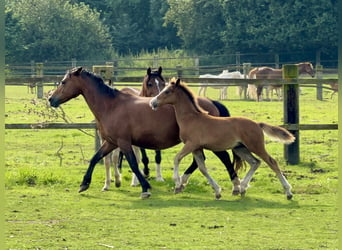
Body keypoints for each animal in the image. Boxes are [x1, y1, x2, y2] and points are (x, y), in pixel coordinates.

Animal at [151, 78, 296, 199]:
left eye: (167, 91)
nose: (153, 102)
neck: (191, 119)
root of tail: (257, 124)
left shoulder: (191, 144)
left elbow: (177, 158)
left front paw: (177, 183)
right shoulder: (197, 148)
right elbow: (202, 168)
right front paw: (217, 191)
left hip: (255, 146)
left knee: (272, 162)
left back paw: (288, 192)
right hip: (240, 148)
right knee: (255, 162)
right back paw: (242, 188)